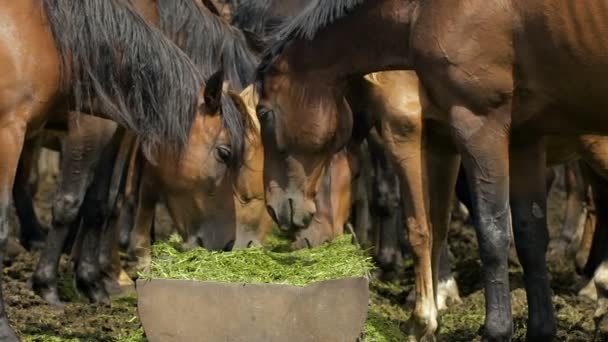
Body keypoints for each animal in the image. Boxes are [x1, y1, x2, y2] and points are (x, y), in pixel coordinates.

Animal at [254, 0, 608, 340]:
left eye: (264, 113)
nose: (275, 206)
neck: (420, 10)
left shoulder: (463, 125)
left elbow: (479, 230)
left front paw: (452, 321)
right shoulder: (511, 138)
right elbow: (523, 234)